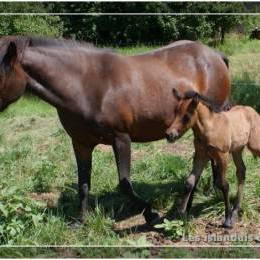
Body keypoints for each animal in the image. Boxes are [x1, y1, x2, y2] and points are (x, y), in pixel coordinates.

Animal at [0, 36, 230, 223]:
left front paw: (151, 214)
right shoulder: (81, 143)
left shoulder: (121, 139)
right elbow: (83, 183)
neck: (86, 85)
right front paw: (81, 220)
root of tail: (215, 55)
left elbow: (124, 184)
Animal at [166, 89, 260, 228]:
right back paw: (235, 211)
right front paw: (181, 214)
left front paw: (227, 220)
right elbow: (189, 182)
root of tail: (252, 110)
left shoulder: (222, 156)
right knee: (241, 171)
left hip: (254, 145)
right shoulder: (201, 156)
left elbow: (223, 185)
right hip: (237, 150)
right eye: (176, 112)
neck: (210, 128)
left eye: (187, 115)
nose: (169, 135)